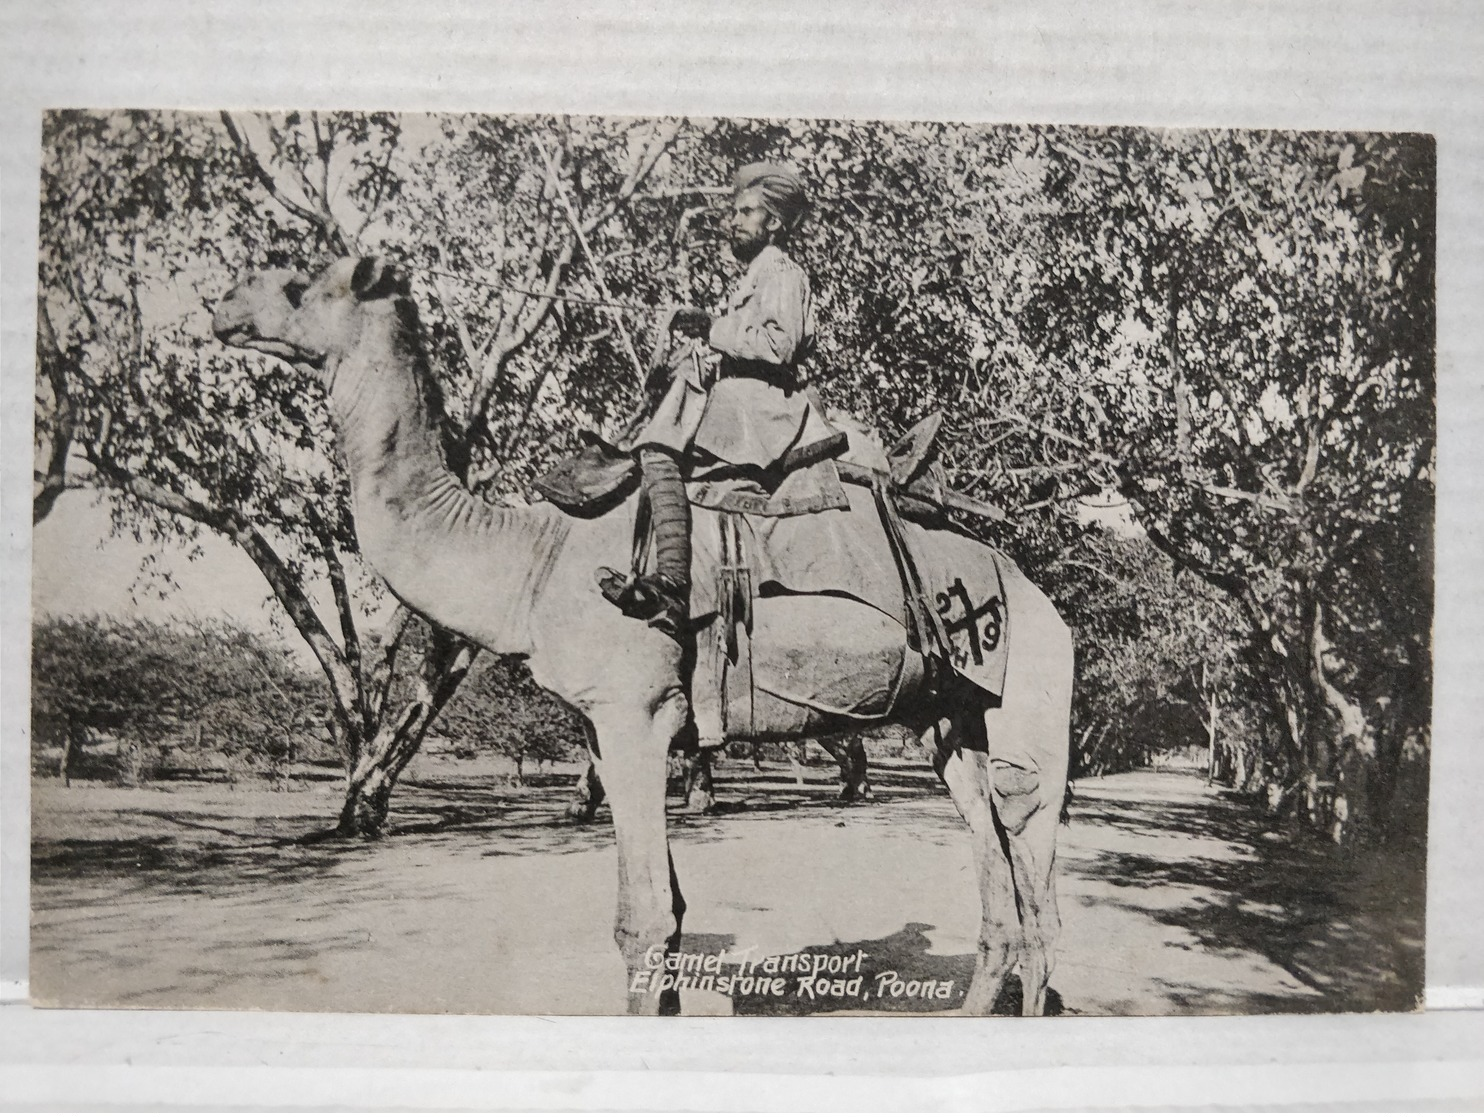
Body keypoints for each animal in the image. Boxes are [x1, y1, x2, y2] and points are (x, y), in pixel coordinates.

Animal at [215, 256, 1074, 1014]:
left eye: (298, 285)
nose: (224, 304)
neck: (531, 560)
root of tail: (1038, 598)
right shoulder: (606, 725)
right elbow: (672, 910)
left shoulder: (636, 712)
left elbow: (643, 918)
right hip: (946, 718)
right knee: (993, 870)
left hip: (1031, 688)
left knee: (1030, 848)